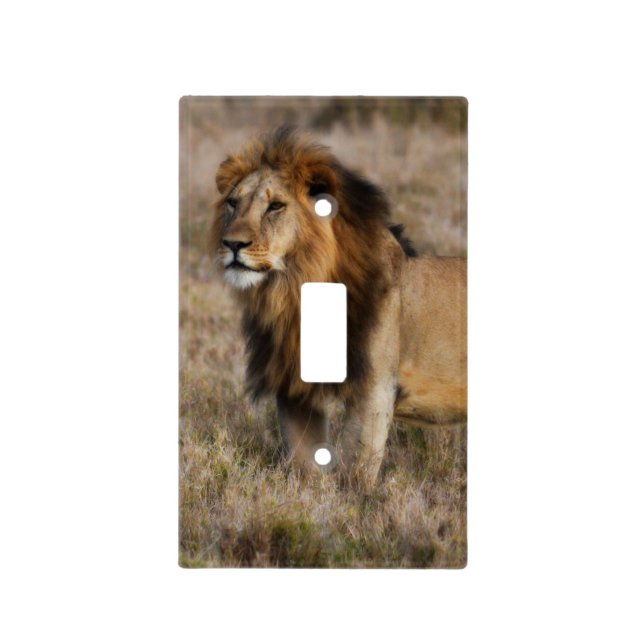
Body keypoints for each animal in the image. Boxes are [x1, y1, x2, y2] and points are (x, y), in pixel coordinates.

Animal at [210, 126, 466, 485]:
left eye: (275, 206)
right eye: (233, 203)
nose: (232, 244)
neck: (293, 291)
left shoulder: (374, 388)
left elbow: (354, 469)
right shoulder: (293, 388)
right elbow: (304, 465)